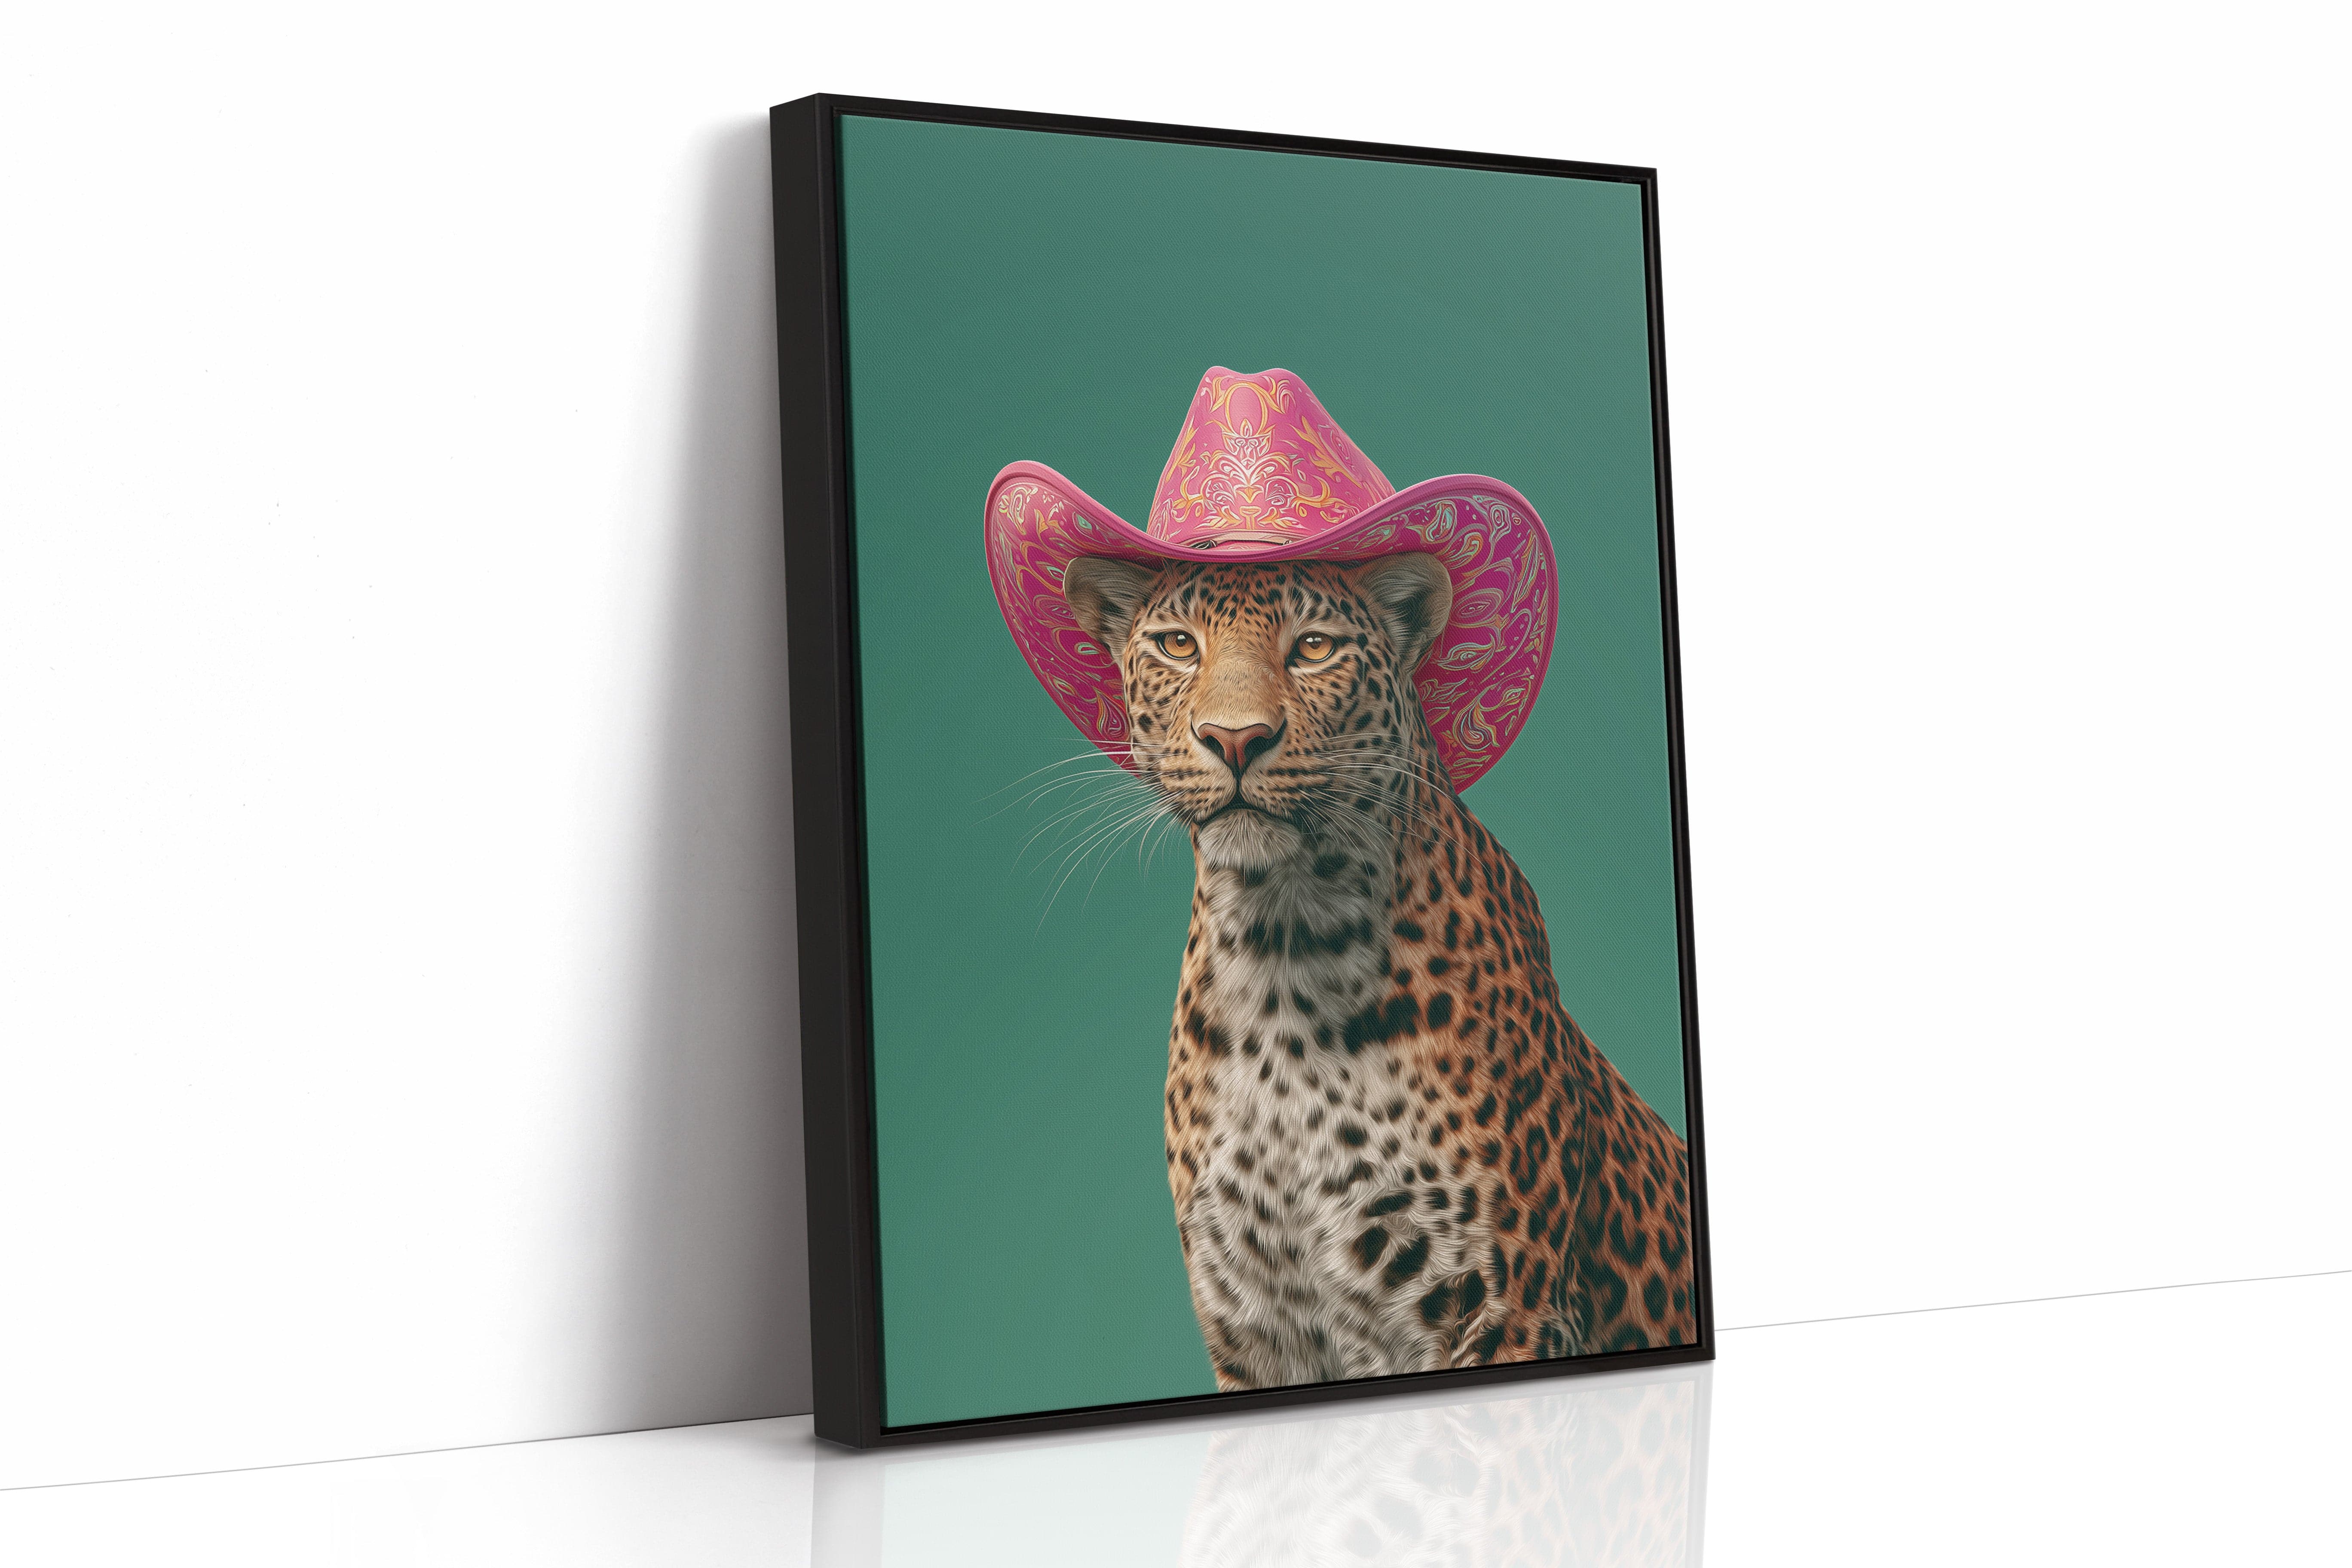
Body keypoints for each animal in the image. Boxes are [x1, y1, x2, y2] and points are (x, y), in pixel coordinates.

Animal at [1060, 551, 1696, 1393]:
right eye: (1177, 645)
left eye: (1314, 647)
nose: (1235, 739)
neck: (1283, 951)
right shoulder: (1254, 1327)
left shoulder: (1501, 1308)